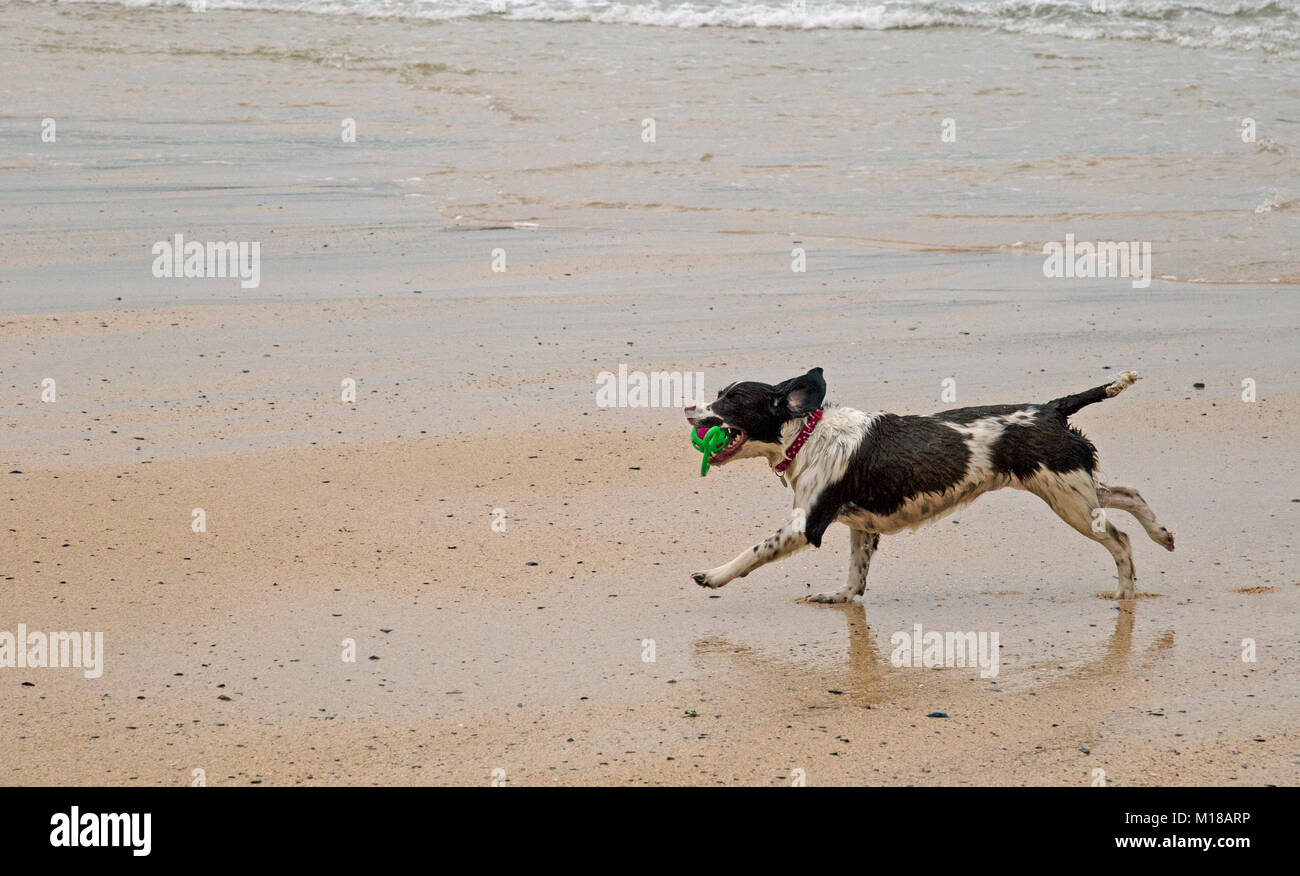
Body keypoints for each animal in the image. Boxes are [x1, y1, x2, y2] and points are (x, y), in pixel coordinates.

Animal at [686, 366, 1175, 600]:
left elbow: (752, 552)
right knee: (1129, 493)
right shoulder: (861, 526)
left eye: (730, 400)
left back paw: (1125, 590)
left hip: (1067, 499)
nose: (688, 408)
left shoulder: (806, 524)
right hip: (1071, 486)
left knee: (1120, 539)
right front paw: (840, 597)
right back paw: (1162, 533)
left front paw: (713, 575)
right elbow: (855, 576)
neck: (809, 435)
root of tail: (1052, 408)